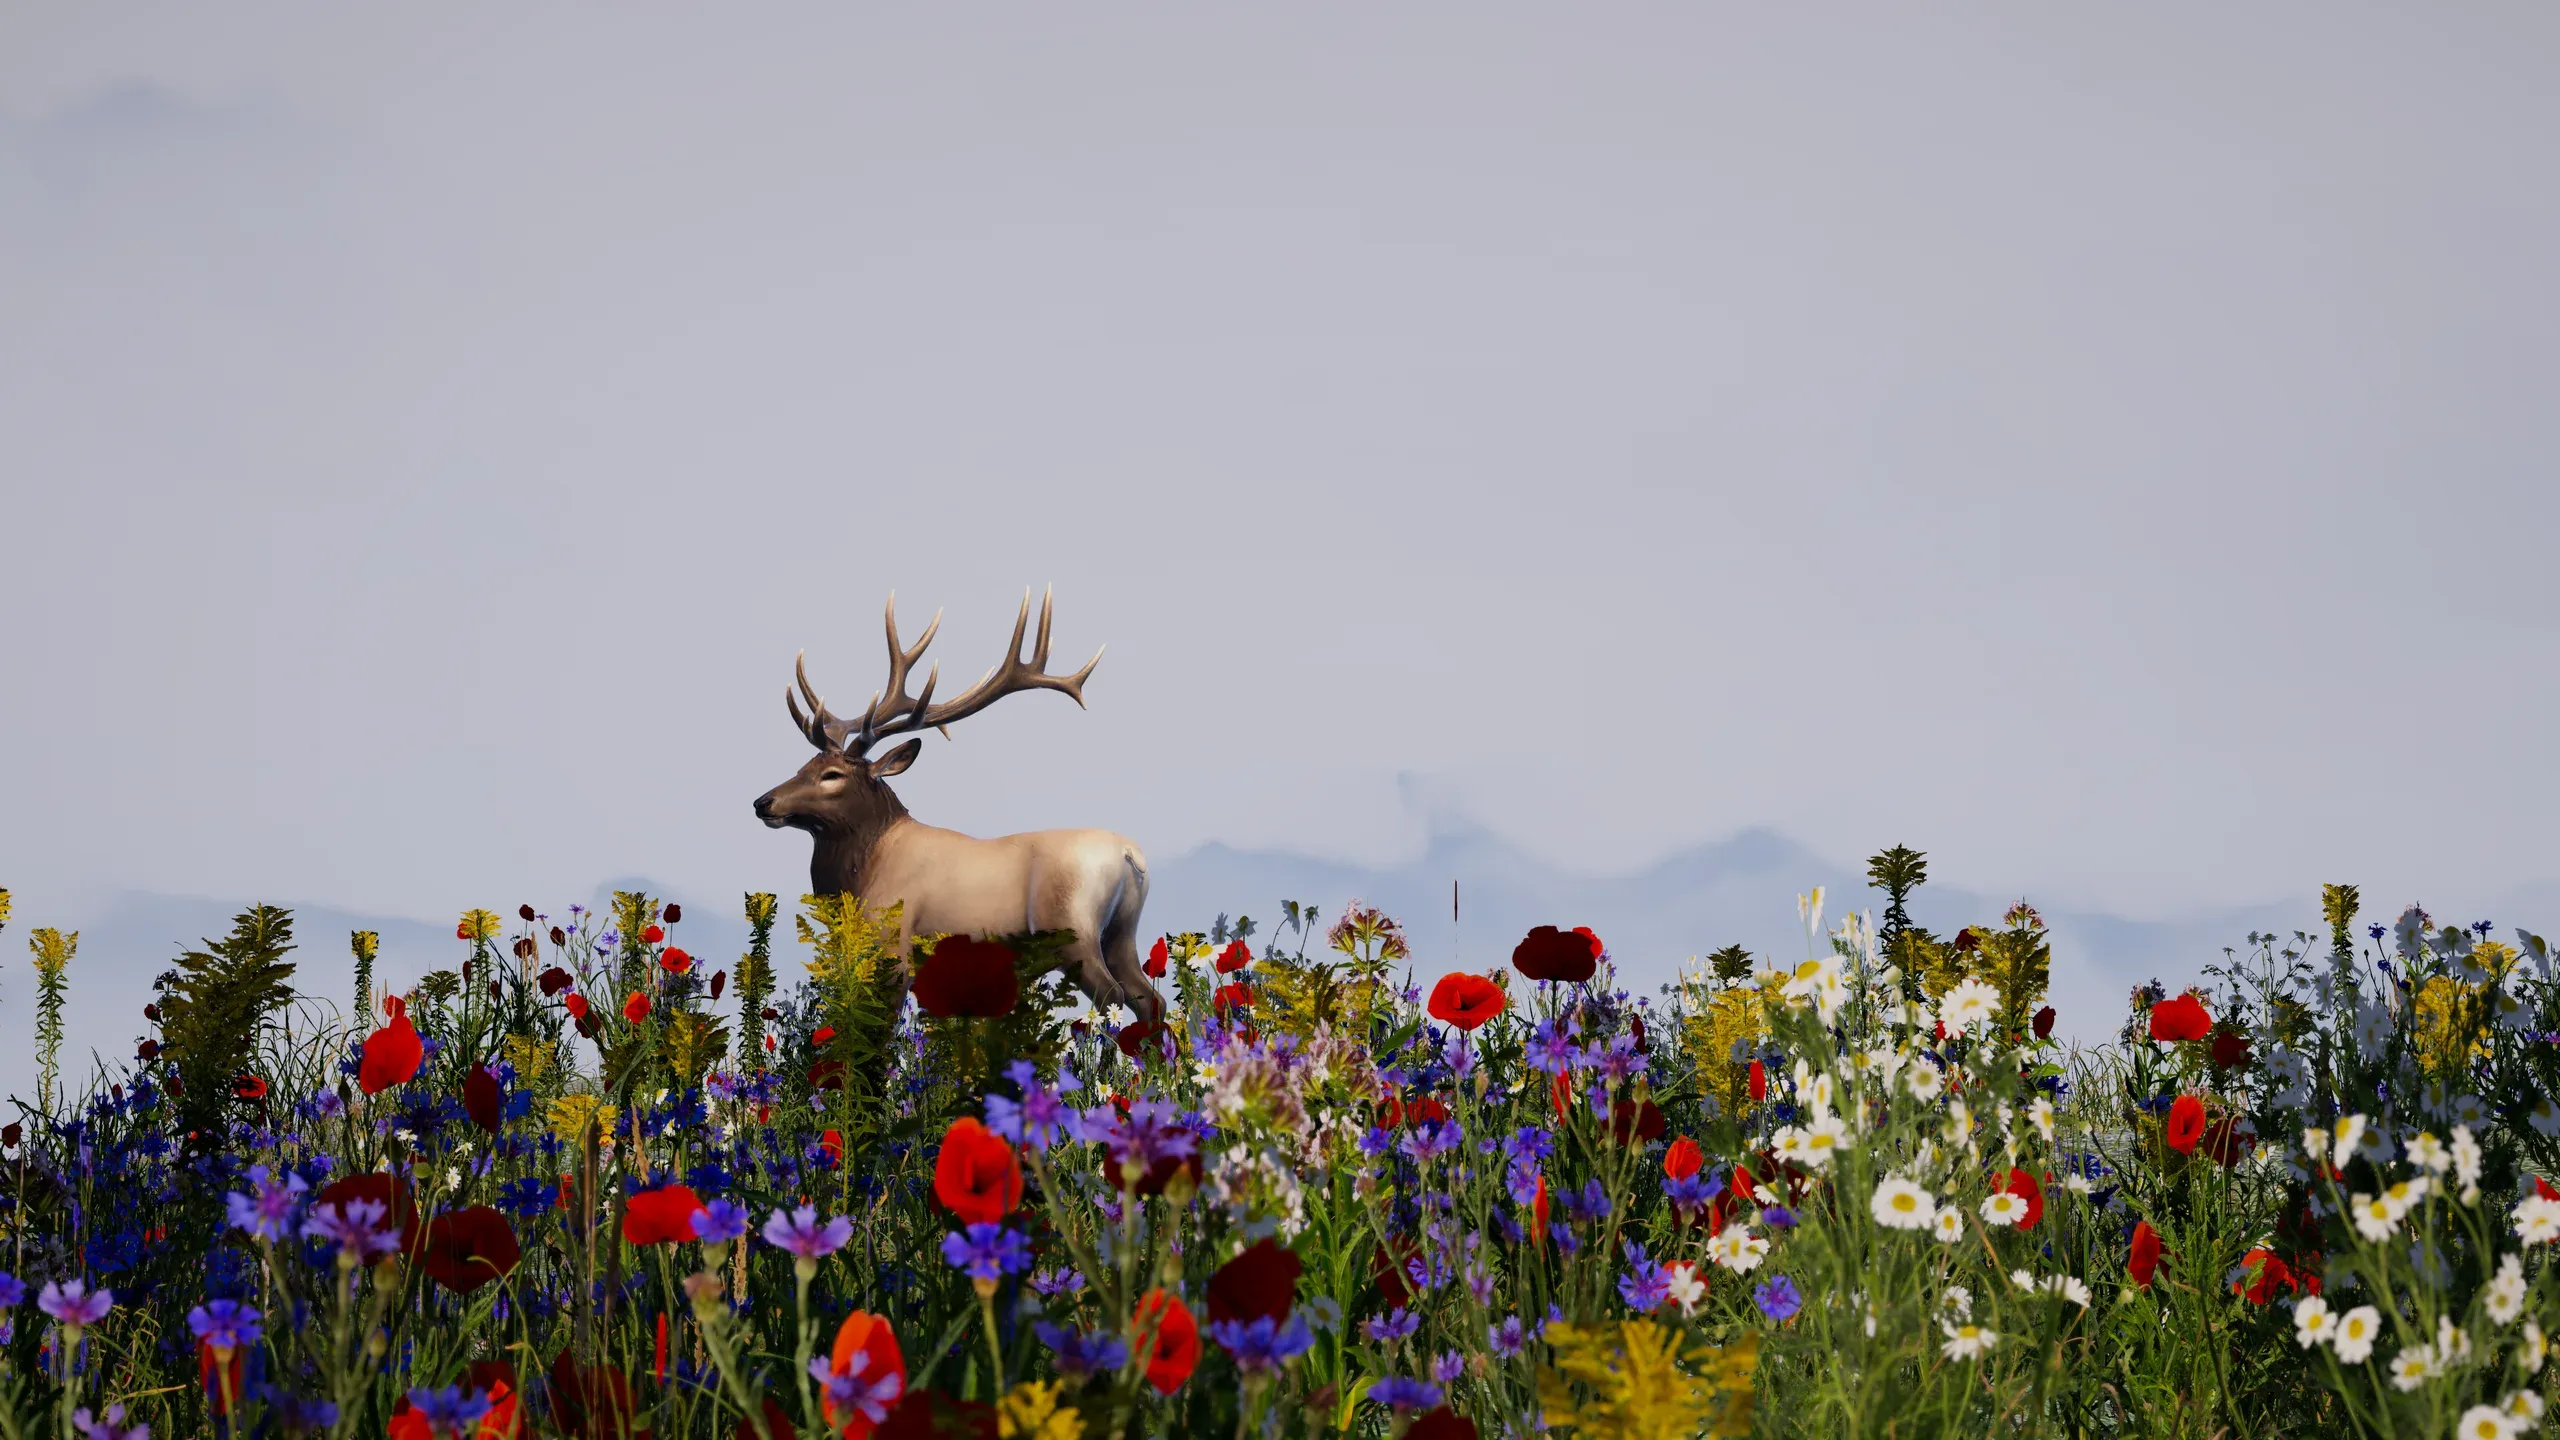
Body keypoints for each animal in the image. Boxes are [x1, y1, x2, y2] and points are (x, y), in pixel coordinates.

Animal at [752, 588, 1163, 1024]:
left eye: (832, 774)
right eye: (804, 766)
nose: (763, 802)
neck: (862, 874)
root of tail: (1130, 855)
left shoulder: (893, 943)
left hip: (1073, 931)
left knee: (1112, 994)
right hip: (1121, 931)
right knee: (1149, 998)